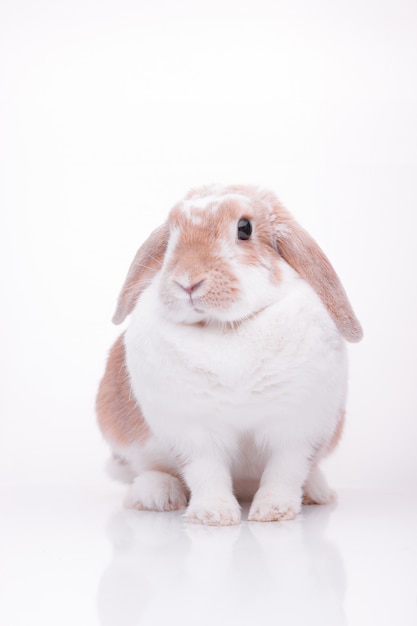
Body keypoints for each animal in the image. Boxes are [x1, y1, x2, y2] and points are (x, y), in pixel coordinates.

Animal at [96, 184, 360, 520]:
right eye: (170, 238)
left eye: (244, 228)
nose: (187, 282)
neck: (225, 327)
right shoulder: (193, 432)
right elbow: (206, 473)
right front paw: (214, 515)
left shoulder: (297, 428)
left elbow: (284, 472)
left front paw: (273, 511)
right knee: (147, 471)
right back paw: (157, 496)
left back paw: (316, 492)